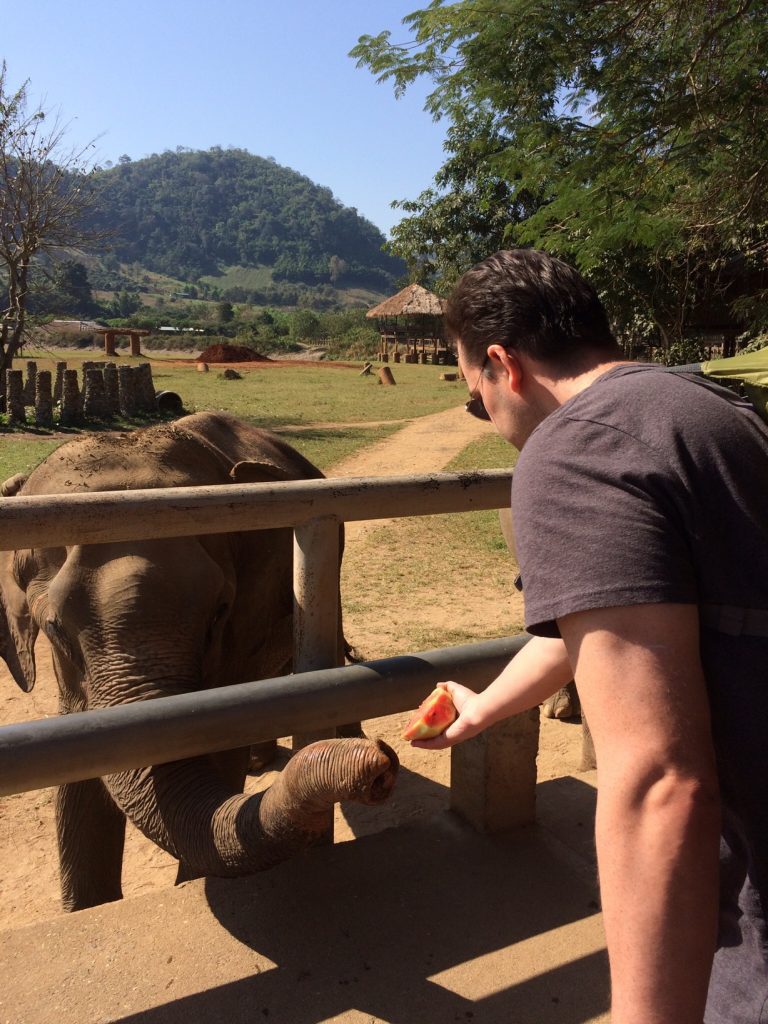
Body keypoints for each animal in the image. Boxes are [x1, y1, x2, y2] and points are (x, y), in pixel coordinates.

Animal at [0, 411, 397, 909]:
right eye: (53, 628)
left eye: (218, 613)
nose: (382, 763)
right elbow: (77, 769)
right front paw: (83, 908)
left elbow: (219, 748)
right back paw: (262, 762)